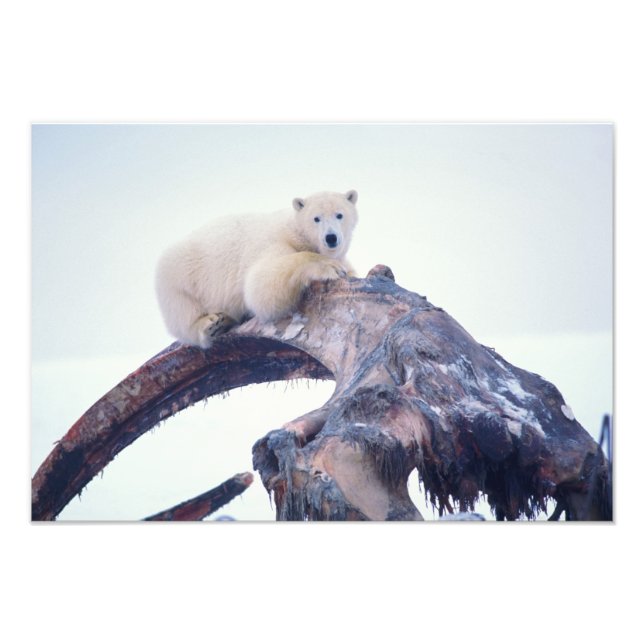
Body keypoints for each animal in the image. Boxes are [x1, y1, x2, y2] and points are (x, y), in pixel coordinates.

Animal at [155, 190, 358, 348]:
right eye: (316, 218)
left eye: (339, 214)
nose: (331, 238)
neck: (295, 232)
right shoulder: (272, 243)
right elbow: (260, 285)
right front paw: (329, 267)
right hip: (180, 275)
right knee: (182, 312)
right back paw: (212, 324)